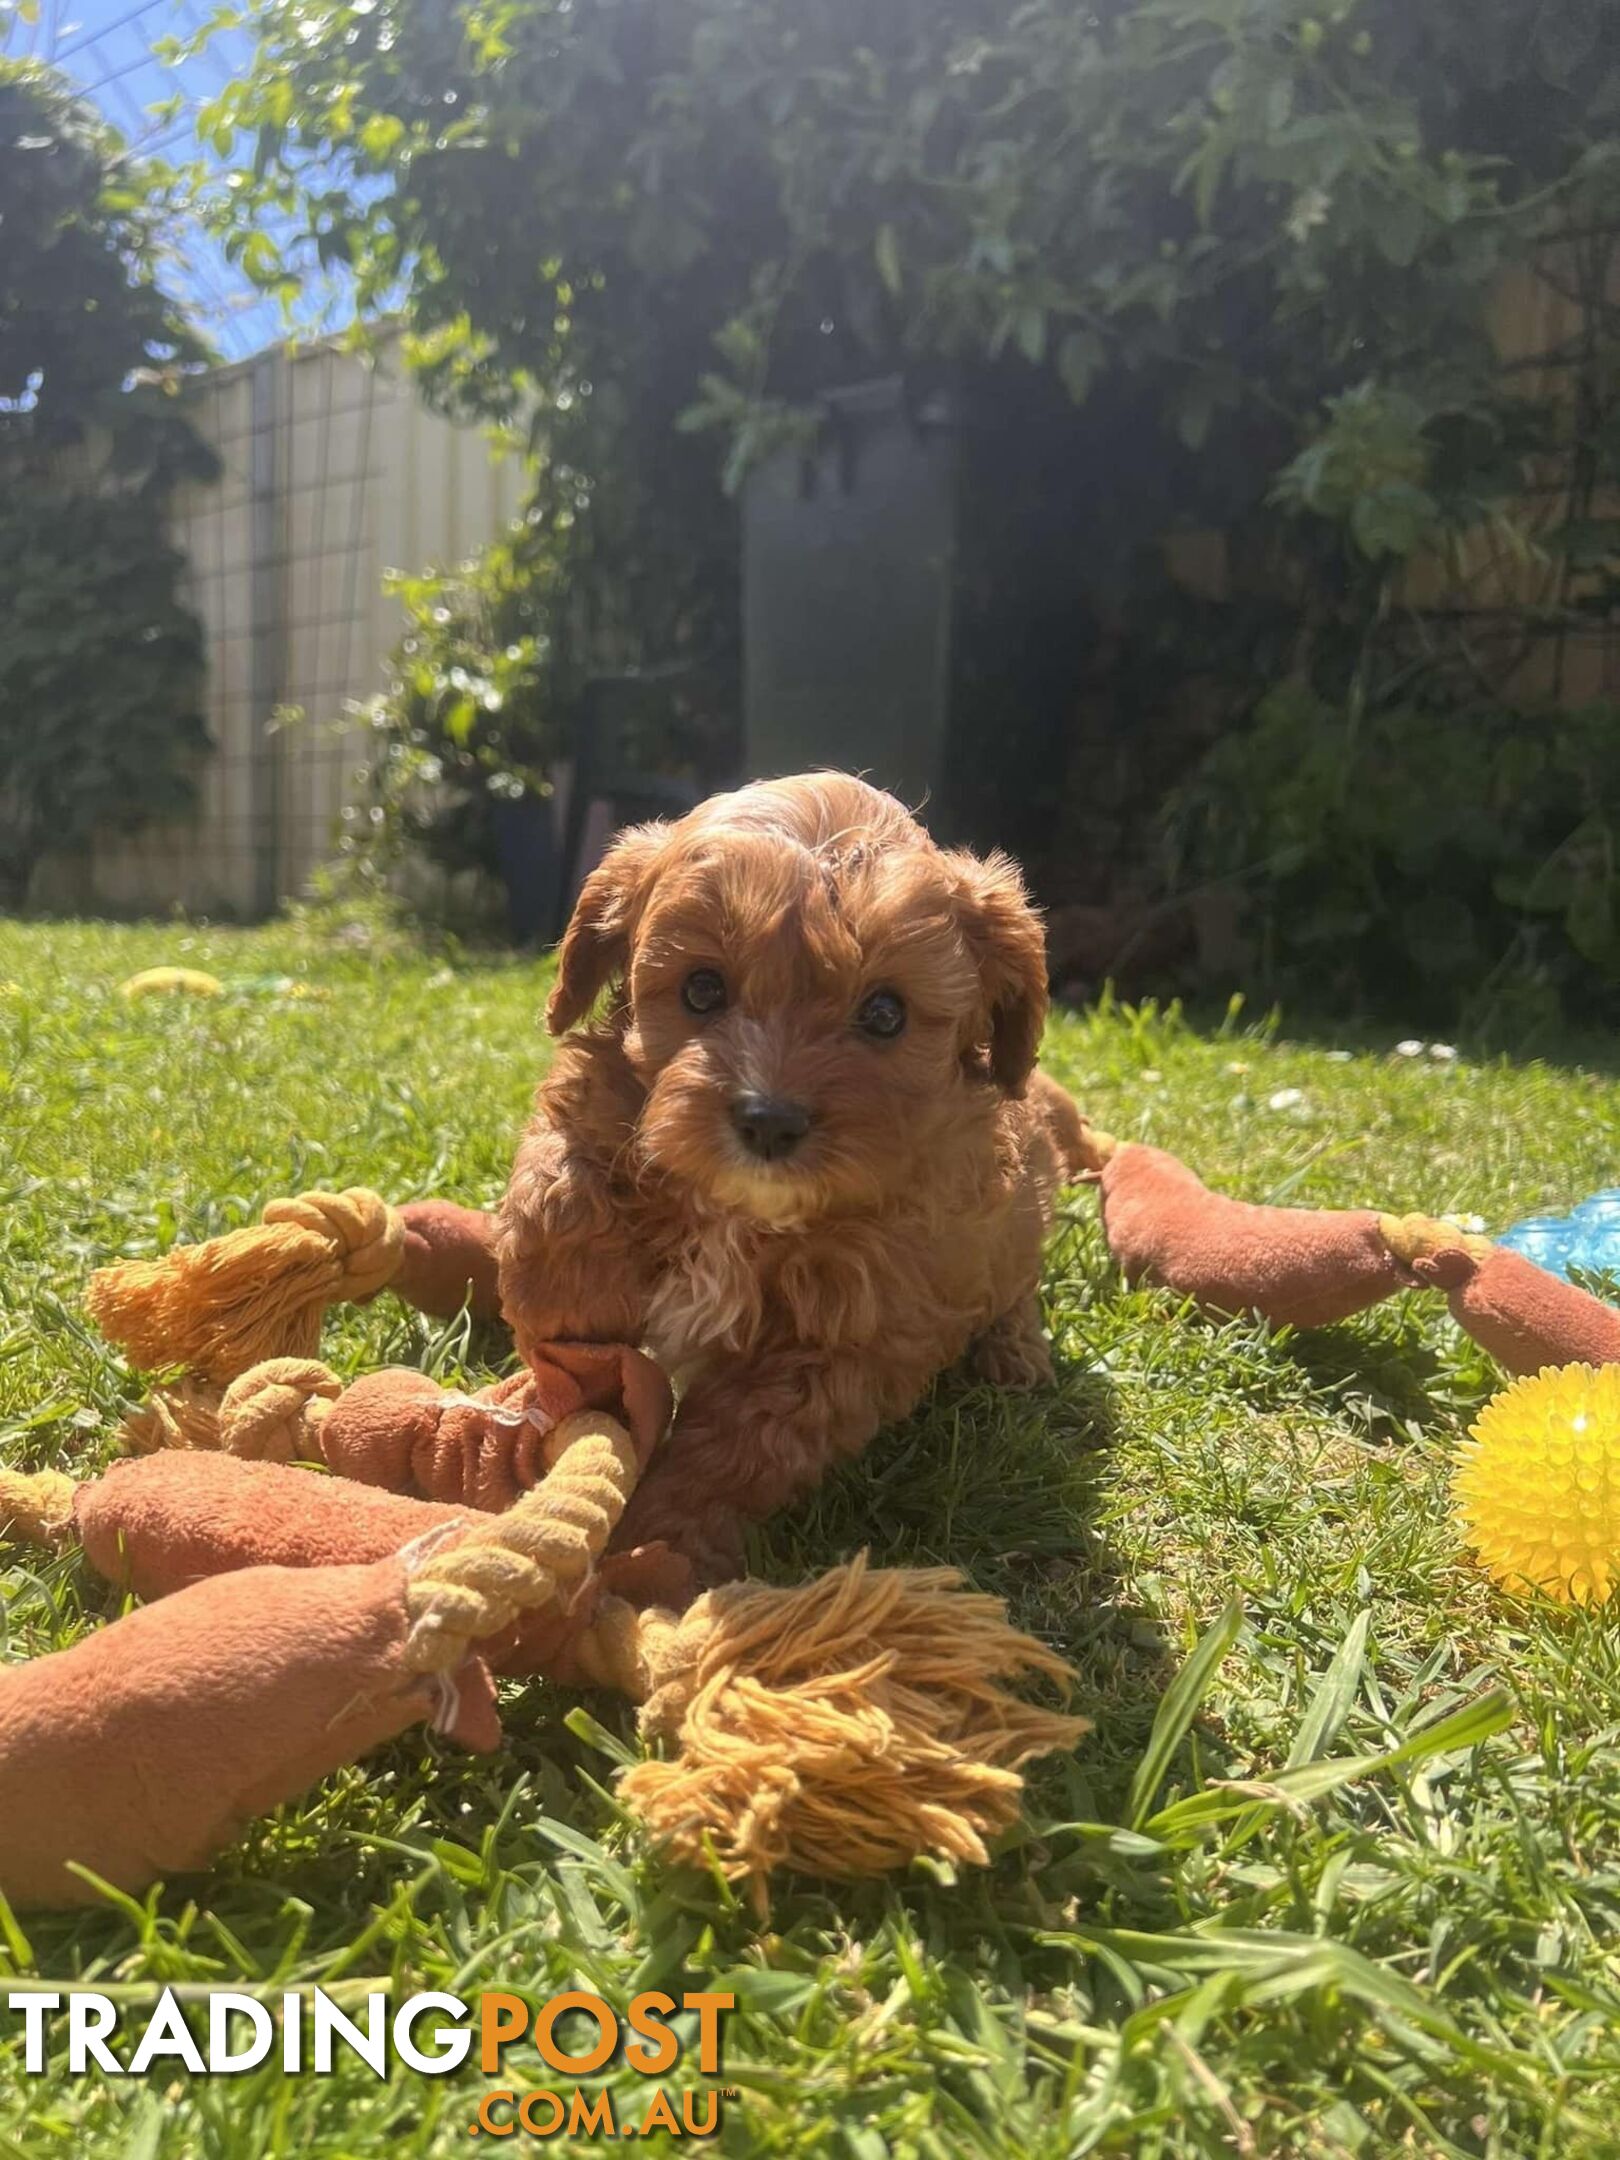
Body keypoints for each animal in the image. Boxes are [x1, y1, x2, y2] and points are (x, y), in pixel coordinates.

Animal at [498, 768, 1092, 1581]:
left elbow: (738, 1445)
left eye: (885, 1013)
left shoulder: (852, 1334)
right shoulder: (606, 1094)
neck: (747, 1216)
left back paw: (1016, 1355)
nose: (768, 1120)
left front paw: (659, 1542)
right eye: (702, 989)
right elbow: (562, 1170)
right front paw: (568, 1297)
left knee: (1017, 1291)